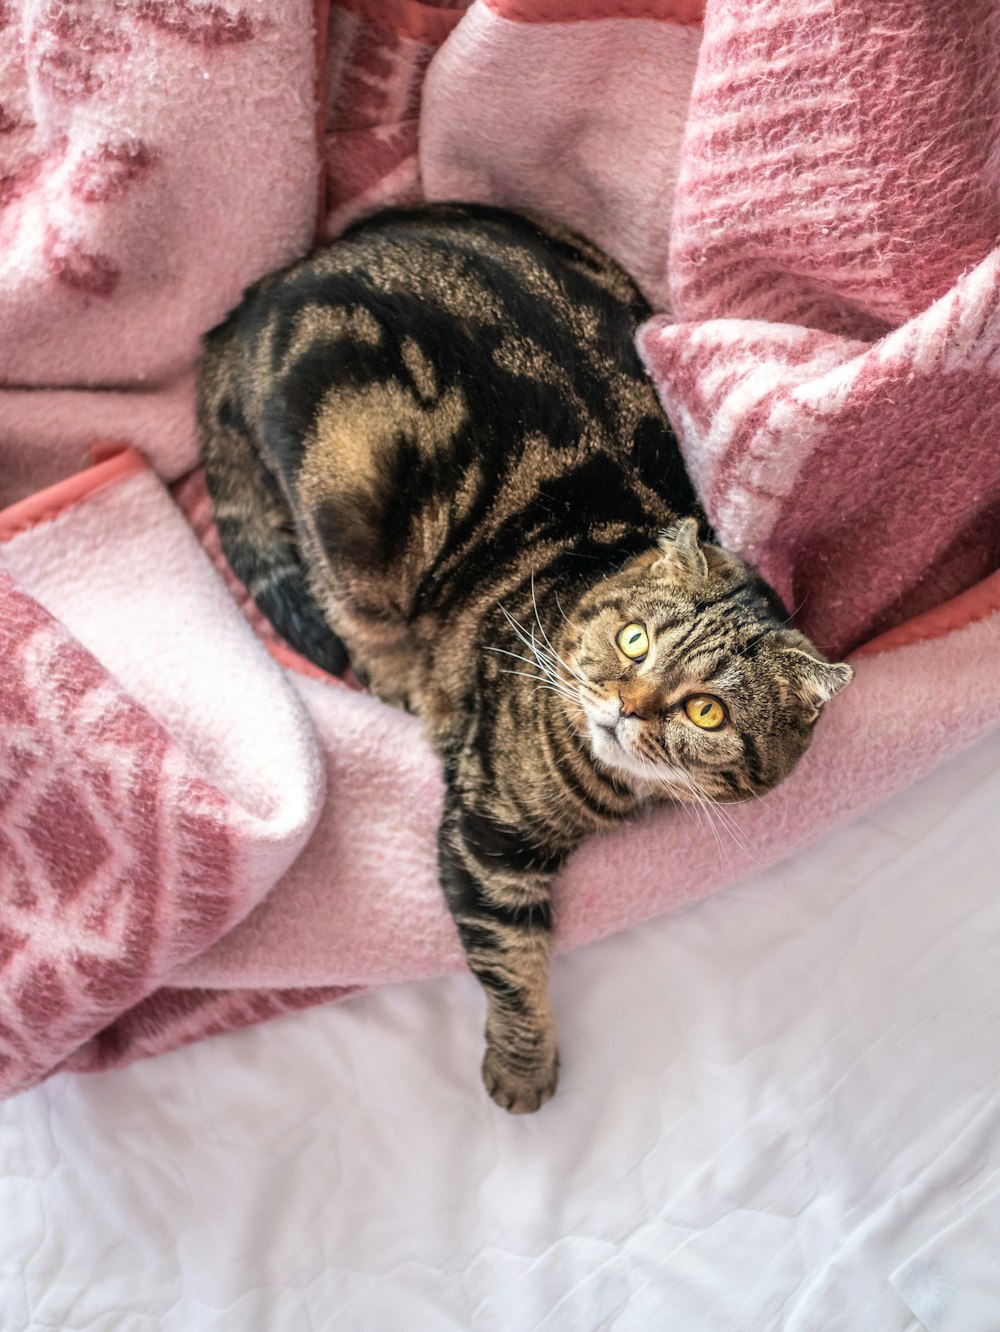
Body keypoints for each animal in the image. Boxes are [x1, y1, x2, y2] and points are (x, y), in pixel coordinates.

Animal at [197, 199, 852, 1113]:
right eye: (634, 639)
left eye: (707, 711)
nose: (626, 705)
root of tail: (261, 298)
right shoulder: (486, 838)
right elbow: (510, 967)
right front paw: (521, 1069)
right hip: (350, 501)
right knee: (348, 612)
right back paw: (403, 679)